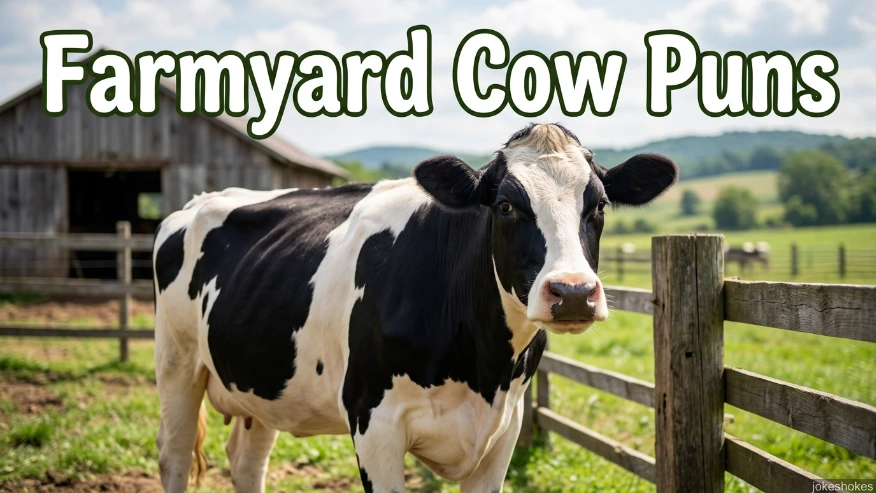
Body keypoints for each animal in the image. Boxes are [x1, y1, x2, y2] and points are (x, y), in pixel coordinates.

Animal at [151, 123, 677, 493]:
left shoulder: (503, 431)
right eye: (506, 205)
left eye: (600, 205)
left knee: (246, 462)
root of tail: (200, 200)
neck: (483, 367)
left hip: (261, 383)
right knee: (173, 454)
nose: (571, 293)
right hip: (177, 364)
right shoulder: (373, 423)